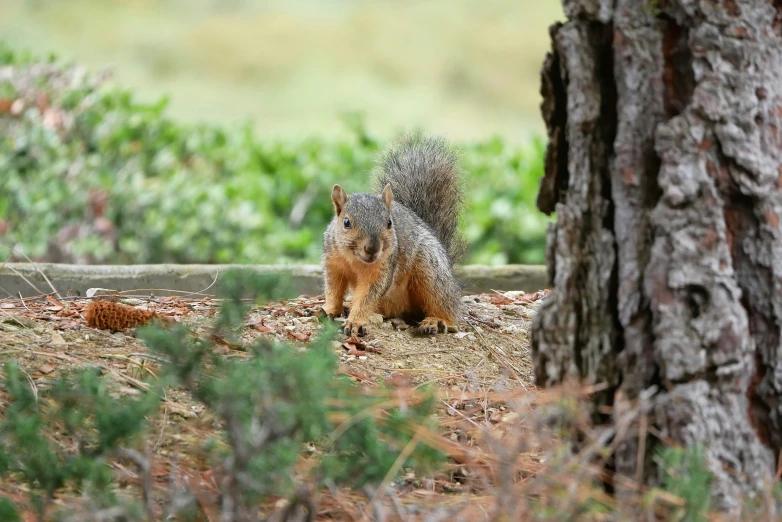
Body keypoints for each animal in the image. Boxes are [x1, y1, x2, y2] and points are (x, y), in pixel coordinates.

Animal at [320, 132, 466, 336]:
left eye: (389, 223)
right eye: (346, 222)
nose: (372, 248)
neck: (355, 259)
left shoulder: (384, 268)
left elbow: (368, 295)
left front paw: (355, 321)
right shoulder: (333, 263)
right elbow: (333, 289)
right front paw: (330, 309)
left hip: (430, 270)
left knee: (447, 309)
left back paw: (436, 321)